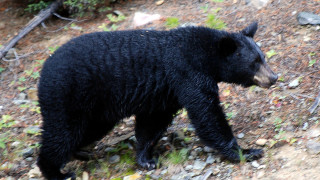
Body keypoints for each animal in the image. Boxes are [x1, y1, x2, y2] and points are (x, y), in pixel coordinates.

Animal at [37, 21, 278, 179]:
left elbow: (152, 123)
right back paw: (57, 172)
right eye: (254, 62)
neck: (206, 55)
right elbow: (207, 114)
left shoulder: (165, 93)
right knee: (62, 133)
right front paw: (246, 151)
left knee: (87, 131)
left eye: (263, 57)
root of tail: (43, 70)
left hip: (96, 110)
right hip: (68, 95)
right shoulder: (187, 73)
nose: (274, 77)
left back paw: (80, 152)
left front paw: (146, 159)